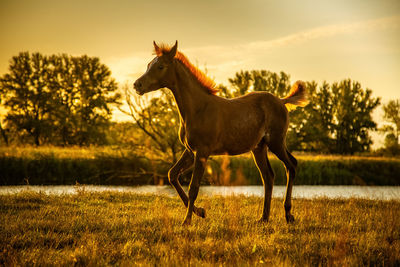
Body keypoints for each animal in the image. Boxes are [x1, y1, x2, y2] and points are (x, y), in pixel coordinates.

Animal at [134, 41, 310, 226]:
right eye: (148, 65)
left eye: (160, 66)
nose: (137, 85)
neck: (197, 109)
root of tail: (282, 101)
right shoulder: (190, 151)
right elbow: (172, 175)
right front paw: (200, 211)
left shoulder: (202, 152)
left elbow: (193, 187)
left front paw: (187, 220)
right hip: (259, 147)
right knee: (268, 177)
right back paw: (263, 218)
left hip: (276, 142)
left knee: (291, 165)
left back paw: (288, 214)